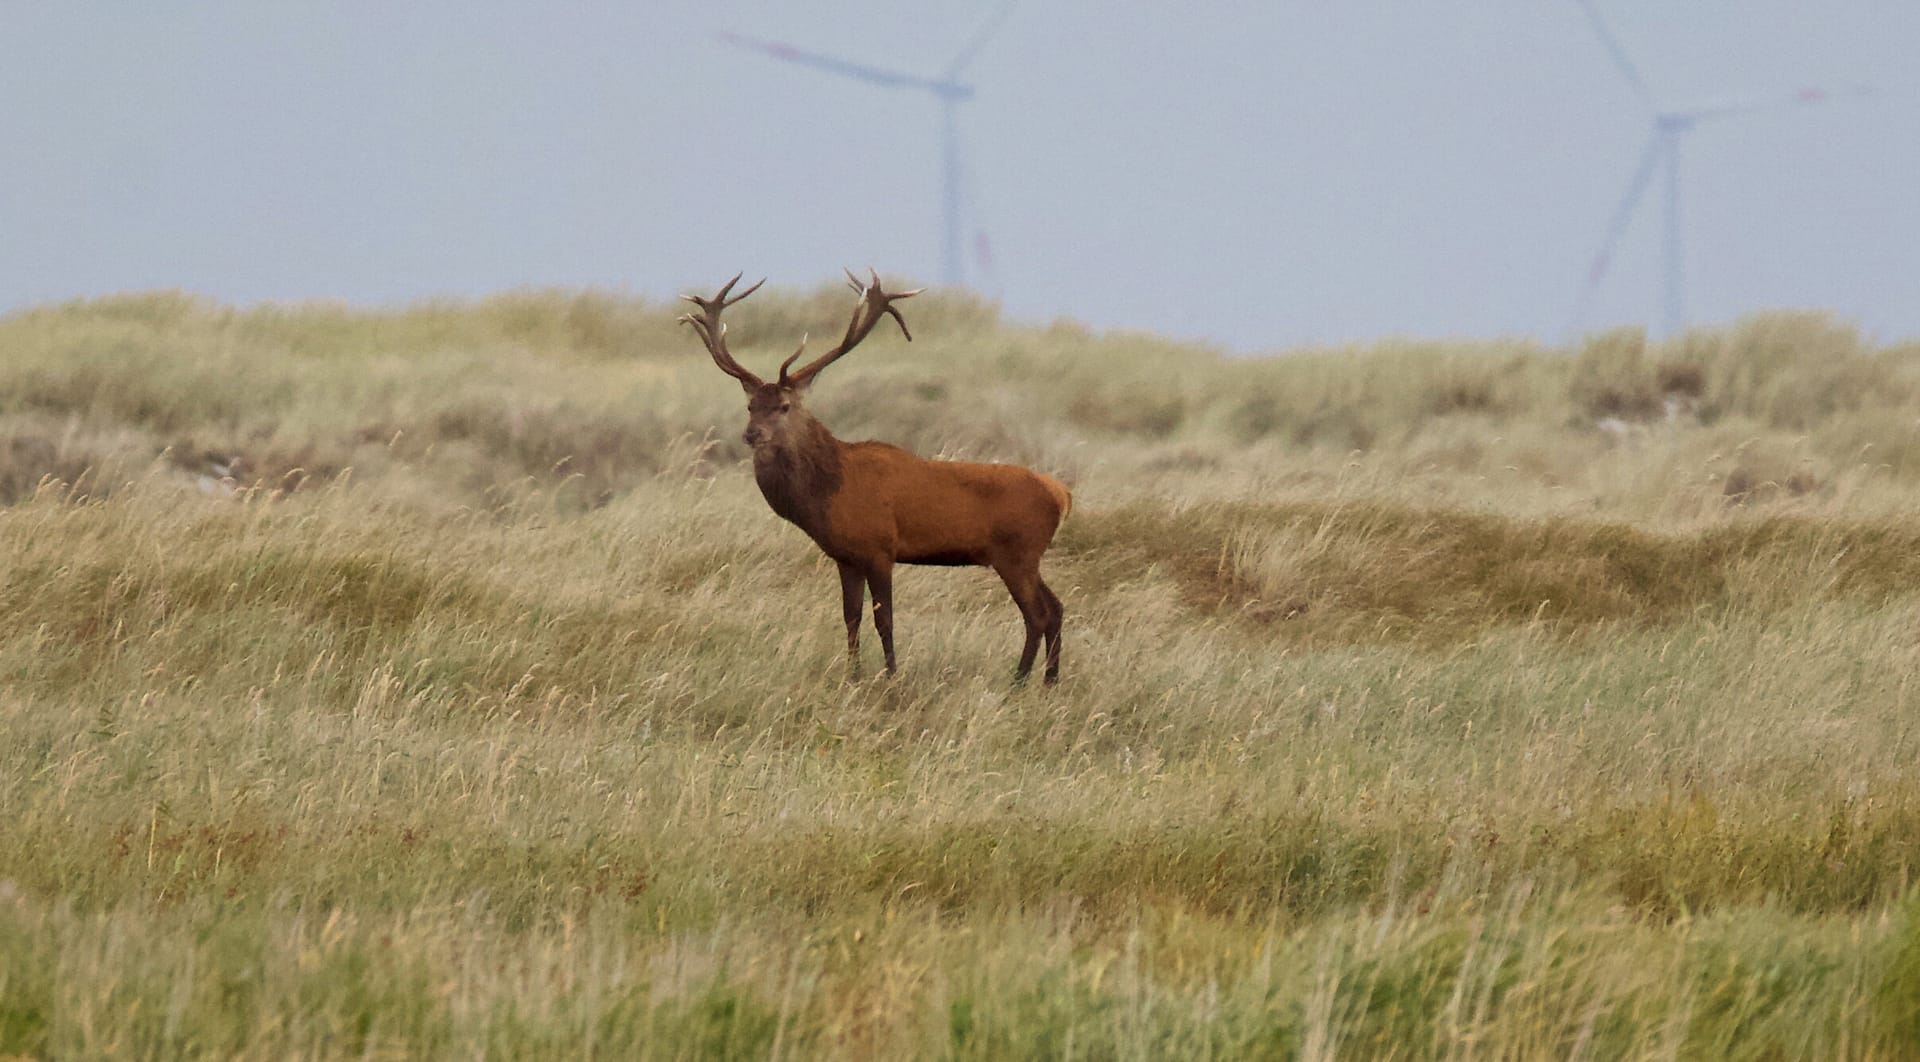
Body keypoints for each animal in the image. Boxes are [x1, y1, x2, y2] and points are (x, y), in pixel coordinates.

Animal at [680, 270, 1072, 685]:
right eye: (751, 405)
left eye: (784, 406)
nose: (752, 434)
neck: (830, 494)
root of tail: (1062, 494)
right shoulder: (845, 556)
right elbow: (850, 617)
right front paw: (852, 676)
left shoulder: (880, 547)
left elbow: (884, 619)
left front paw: (891, 676)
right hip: (1026, 557)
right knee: (1056, 609)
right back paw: (1049, 681)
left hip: (1017, 553)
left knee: (1037, 615)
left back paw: (1019, 681)